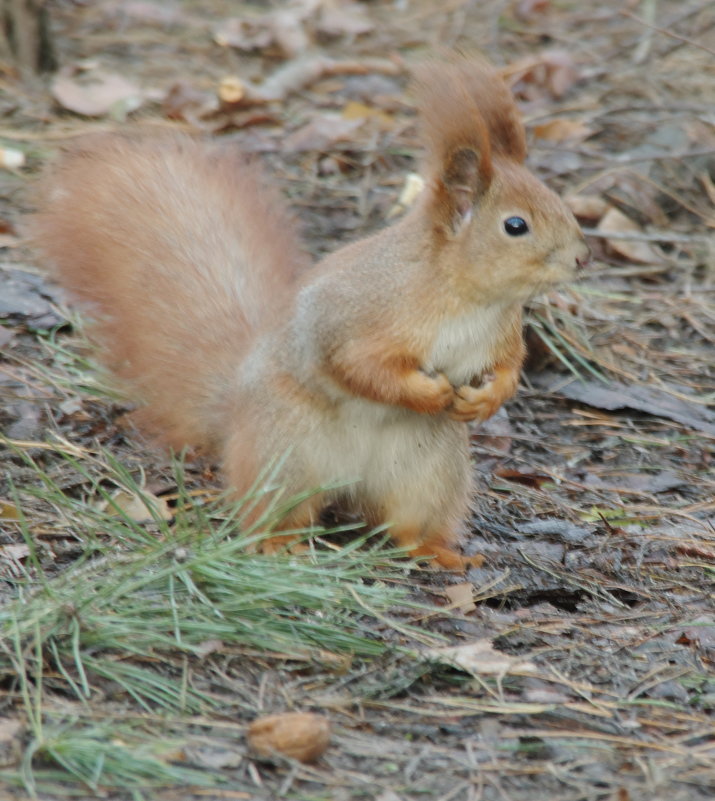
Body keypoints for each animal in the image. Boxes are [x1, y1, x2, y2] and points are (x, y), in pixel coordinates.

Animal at [30, 54, 592, 568]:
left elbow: (509, 369)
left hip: (427, 473)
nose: (583, 257)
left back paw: (437, 551)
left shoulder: (503, 335)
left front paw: (486, 399)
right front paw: (426, 392)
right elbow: (358, 366)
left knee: (406, 526)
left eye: (559, 201)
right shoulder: (355, 319)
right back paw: (281, 543)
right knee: (274, 515)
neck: (470, 299)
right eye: (515, 226)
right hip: (286, 457)